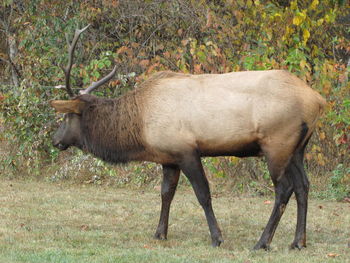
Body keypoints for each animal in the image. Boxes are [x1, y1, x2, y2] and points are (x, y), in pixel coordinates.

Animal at [49, 25, 326, 251]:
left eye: (66, 117)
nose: (55, 139)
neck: (140, 126)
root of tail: (318, 100)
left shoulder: (187, 151)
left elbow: (203, 194)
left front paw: (217, 237)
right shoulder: (168, 157)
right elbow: (165, 193)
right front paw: (160, 233)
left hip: (276, 144)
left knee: (284, 189)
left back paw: (262, 242)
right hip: (298, 149)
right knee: (303, 185)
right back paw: (298, 242)